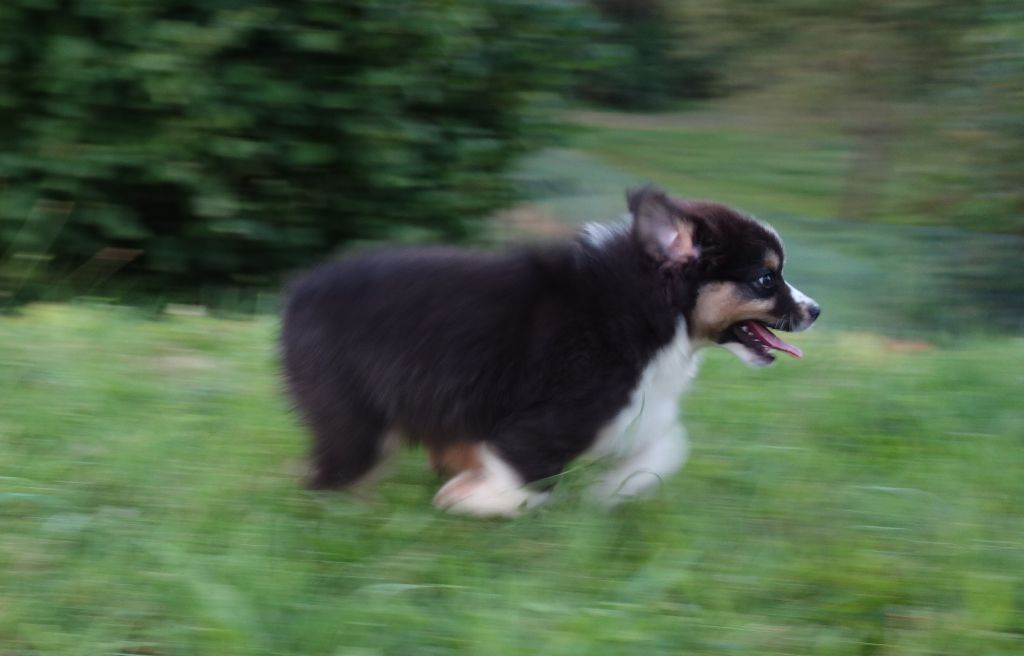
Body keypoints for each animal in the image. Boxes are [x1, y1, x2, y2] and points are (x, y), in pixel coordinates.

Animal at [282, 184, 823, 515]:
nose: (816, 310)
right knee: (334, 471)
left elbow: (668, 446)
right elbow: (531, 472)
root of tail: (298, 292)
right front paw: (473, 499)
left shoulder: (634, 406)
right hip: (352, 411)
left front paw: (611, 491)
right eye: (765, 278)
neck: (653, 307)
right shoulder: (568, 407)